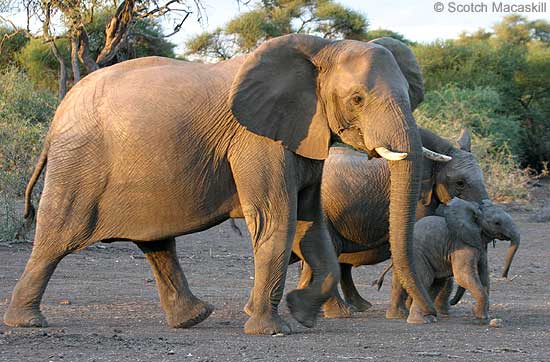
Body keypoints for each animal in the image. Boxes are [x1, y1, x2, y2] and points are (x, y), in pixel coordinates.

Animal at [3, 34, 448, 334]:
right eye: (357, 99)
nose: (426, 316)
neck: (322, 49)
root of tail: (57, 117)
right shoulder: (256, 139)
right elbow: (277, 217)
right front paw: (272, 329)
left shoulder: (304, 132)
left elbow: (312, 223)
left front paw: (301, 313)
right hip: (80, 164)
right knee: (58, 235)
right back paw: (27, 322)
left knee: (156, 243)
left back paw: (194, 318)